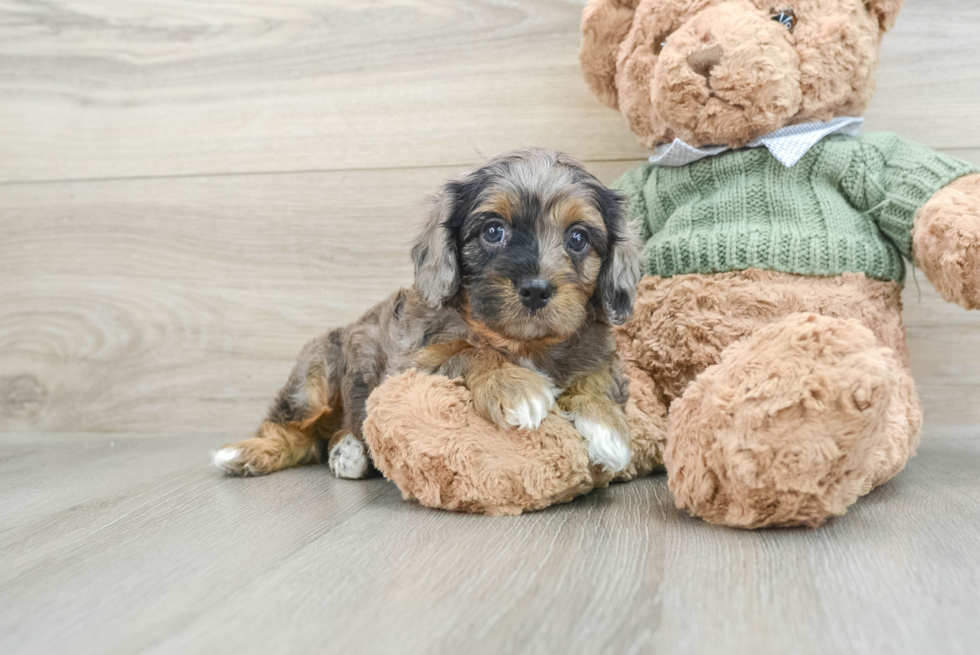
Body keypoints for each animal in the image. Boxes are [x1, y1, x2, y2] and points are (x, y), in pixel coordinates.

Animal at [212, 147, 644, 476]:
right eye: (493, 231)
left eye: (578, 238)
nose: (536, 289)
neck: (521, 343)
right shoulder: (407, 371)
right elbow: (469, 351)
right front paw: (513, 384)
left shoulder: (600, 352)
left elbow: (598, 377)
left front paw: (606, 426)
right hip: (318, 372)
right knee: (296, 428)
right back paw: (248, 452)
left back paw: (348, 450)